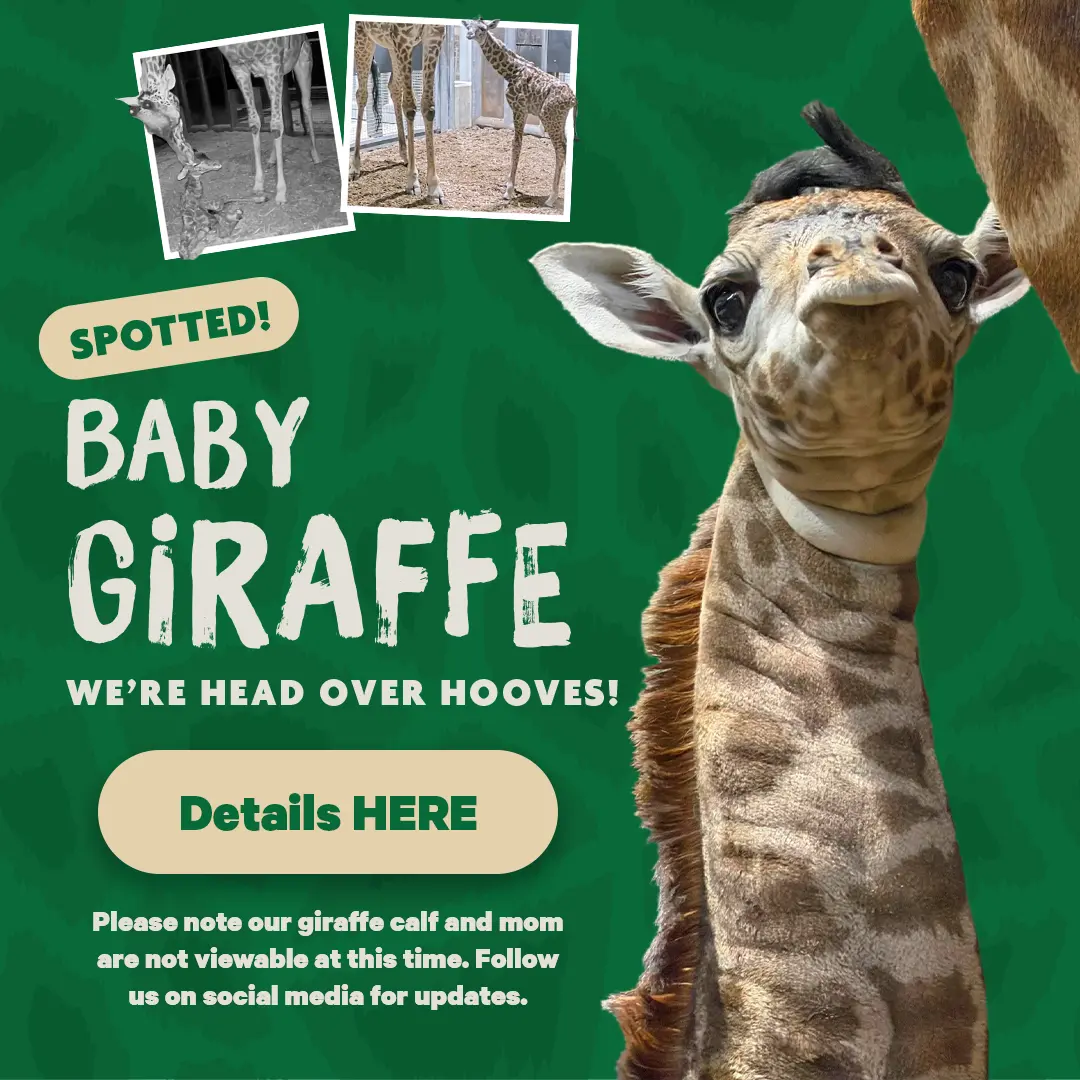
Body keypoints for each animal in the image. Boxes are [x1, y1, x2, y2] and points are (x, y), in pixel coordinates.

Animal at [218, 34, 320, 205]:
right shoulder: (238, 66)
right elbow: (254, 123)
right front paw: (258, 185)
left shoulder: (273, 62)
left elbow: (276, 125)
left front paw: (281, 192)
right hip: (272, 75)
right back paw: (272, 159)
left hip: (303, 62)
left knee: (306, 104)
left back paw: (315, 155)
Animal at [350, 21, 446, 204]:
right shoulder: (404, 37)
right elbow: (410, 107)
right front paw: (412, 182)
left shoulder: (434, 34)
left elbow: (428, 108)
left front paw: (434, 188)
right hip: (363, 36)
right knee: (362, 94)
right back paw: (355, 167)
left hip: (391, 44)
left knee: (393, 86)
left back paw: (405, 154)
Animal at [462, 18, 576, 208]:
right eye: (469, 26)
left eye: (482, 29)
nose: (469, 35)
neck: (511, 71)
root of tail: (573, 99)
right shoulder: (523, 111)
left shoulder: (519, 109)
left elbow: (516, 145)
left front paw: (508, 191)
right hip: (558, 119)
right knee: (565, 147)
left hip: (549, 118)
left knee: (560, 149)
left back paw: (551, 198)